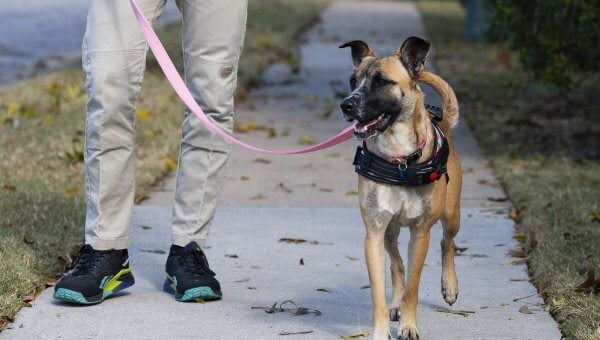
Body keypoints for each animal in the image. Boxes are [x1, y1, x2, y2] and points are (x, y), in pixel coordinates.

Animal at [340, 37, 462, 340]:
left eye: (382, 81)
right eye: (352, 80)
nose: (346, 105)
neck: (400, 160)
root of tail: (443, 121)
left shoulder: (421, 233)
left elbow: (414, 289)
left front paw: (408, 325)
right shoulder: (374, 233)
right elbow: (380, 291)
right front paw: (382, 329)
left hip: (452, 214)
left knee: (447, 243)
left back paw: (449, 285)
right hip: (389, 231)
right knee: (397, 264)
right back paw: (395, 302)